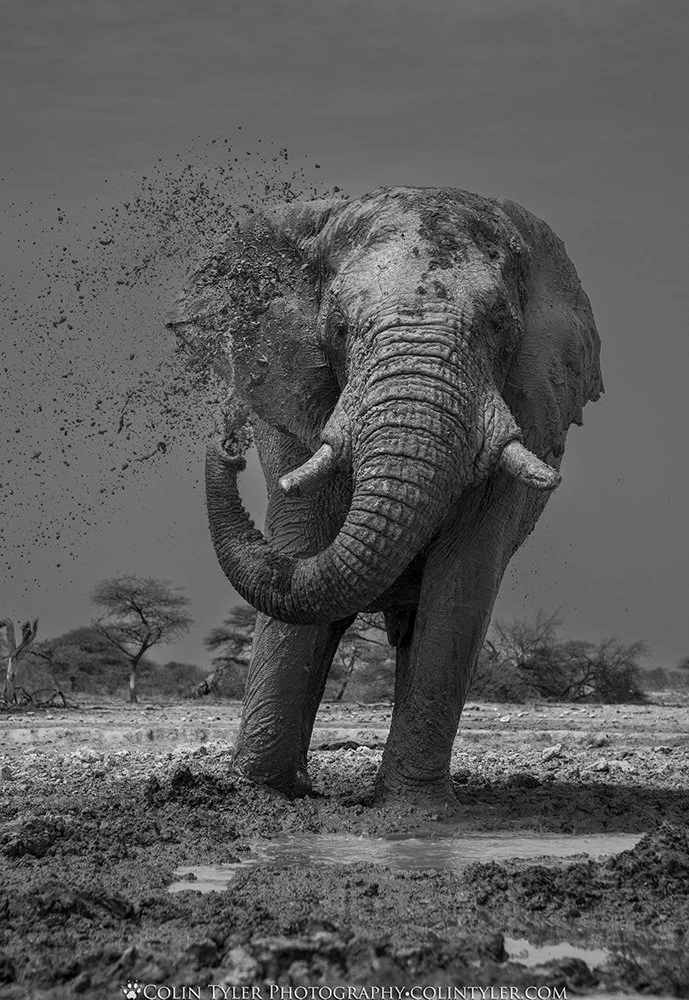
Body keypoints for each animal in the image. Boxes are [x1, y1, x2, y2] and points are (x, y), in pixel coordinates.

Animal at [167, 186, 603, 810]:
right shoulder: (294, 404)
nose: (228, 442)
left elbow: (465, 575)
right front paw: (263, 794)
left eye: (500, 325)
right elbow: (303, 541)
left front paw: (414, 811)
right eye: (339, 328)